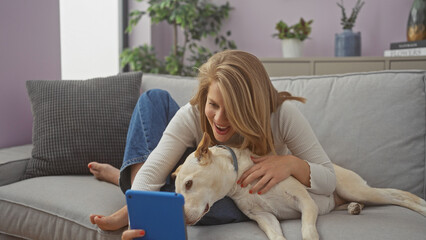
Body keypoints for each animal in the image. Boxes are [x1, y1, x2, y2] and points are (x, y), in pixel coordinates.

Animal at [174, 134, 426, 239]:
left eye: (189, 184)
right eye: (176, 194)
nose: (183, 220)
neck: (239, 180)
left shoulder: (305, 203)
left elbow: (307, 228)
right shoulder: (264, 217)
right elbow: (275, 235)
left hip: (355, 188)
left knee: (399, 196)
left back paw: (421, 207)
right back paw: (354, 208)